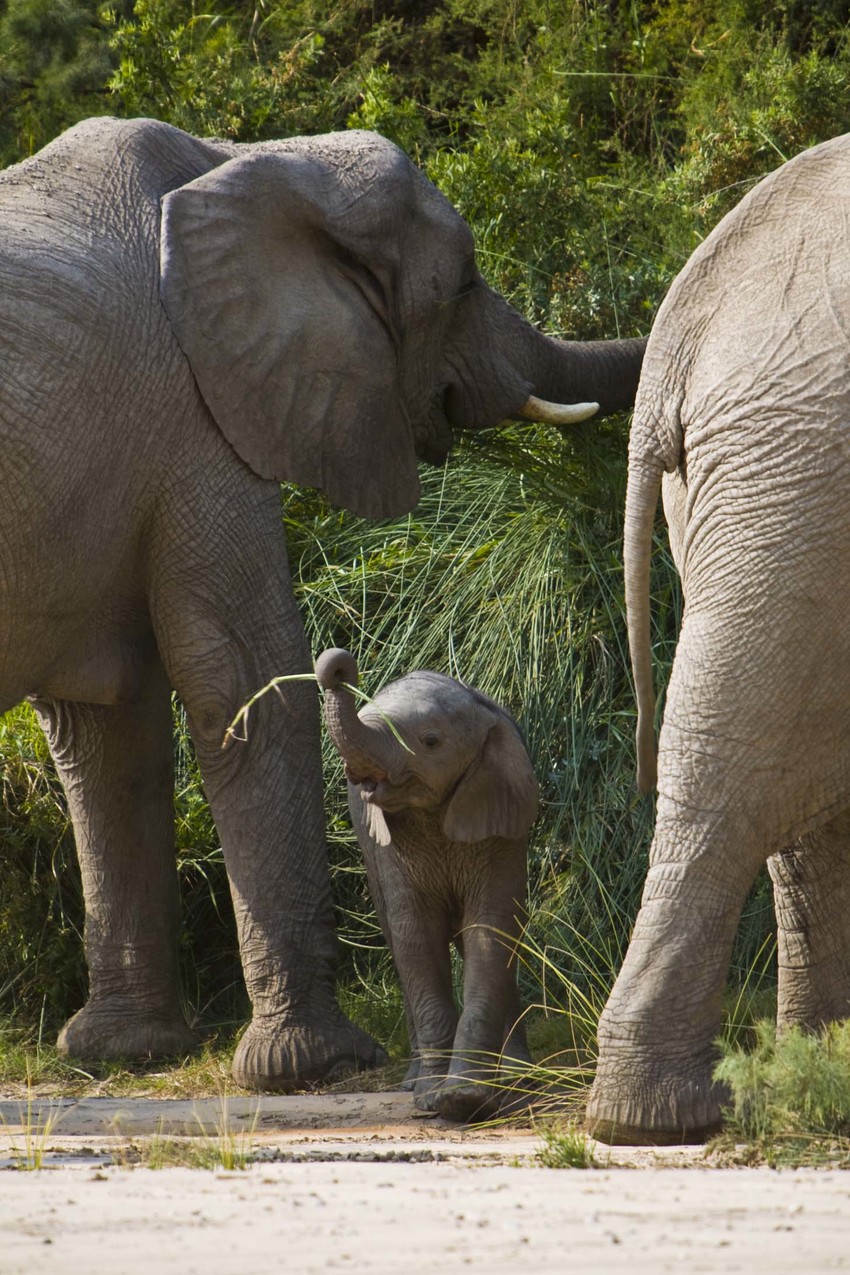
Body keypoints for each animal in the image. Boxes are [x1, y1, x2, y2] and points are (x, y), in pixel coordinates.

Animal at [315, 648, 537, 1121]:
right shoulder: (393, 847)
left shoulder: (500, 827)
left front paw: (465, 1097)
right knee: (398, 941)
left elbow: (490, 932)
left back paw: (518, 1075)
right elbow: (414, 935)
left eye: (430, 741)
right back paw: (413, 1081)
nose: (338, 667)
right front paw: (432, 1097)